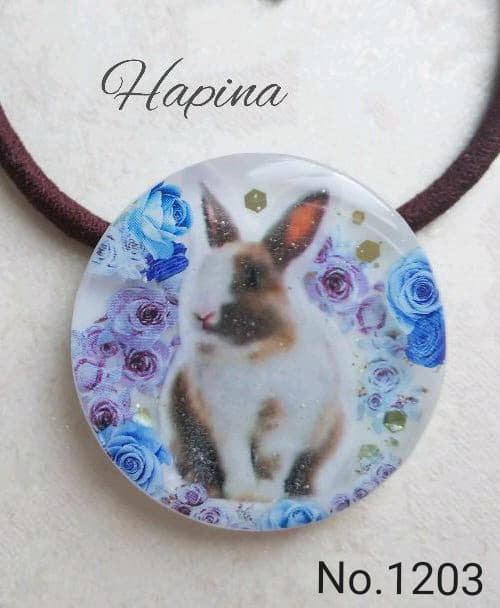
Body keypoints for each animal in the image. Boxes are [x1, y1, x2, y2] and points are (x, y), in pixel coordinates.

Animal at [165, 184, 346, 503]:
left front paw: (263, 496)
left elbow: (272, 459)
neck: (252, 352)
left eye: (252, 277)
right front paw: (242, 493)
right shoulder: (226, 418)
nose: (202, 314)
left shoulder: (287, 420)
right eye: (205, 269)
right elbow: (235, 456)